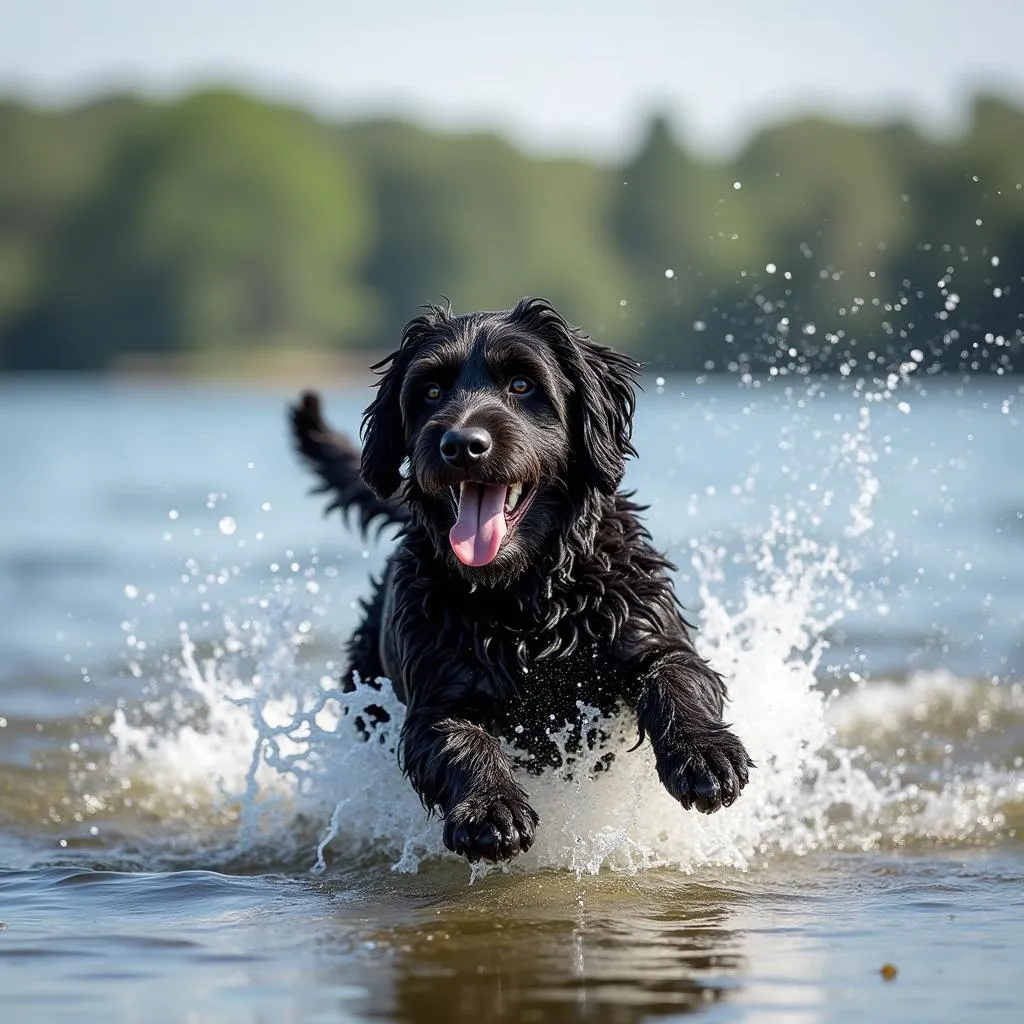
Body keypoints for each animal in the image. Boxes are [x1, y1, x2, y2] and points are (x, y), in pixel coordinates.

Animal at [290, 299, 753, 864]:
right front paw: (490, 807)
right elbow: (459, 740)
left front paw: (704, 751)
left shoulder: (647, 625)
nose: (462, 444)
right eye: (430, 392)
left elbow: (676, 674)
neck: (527, 596)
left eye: (521, 384)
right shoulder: (436, 696)